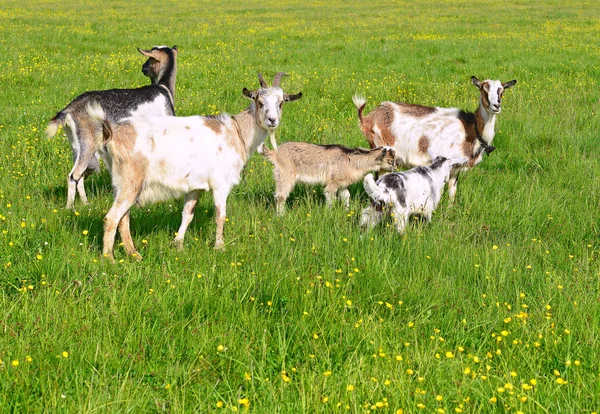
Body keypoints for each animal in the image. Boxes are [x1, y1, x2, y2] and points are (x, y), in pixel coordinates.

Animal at [44, 45, 178, 209]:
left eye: (150, 60)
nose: (143, 68)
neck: (164, 89)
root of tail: (68, 110)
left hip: (77, 144)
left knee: (80, 174)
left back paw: (86, 203)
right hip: (88, 142)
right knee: (73, 174)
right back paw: (70, 207)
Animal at [86, 71, 302, 258]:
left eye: (281, 103)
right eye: (259, 101)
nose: (272, 120)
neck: (236, 132)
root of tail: (110, 134)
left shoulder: (195, 186)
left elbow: (187, 214)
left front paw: (178, 244)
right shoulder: (221, 183)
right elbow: (220, 214)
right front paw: (219, 247)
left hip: (120, 182)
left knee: (123, 219)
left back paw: (134, 255)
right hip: (131, 181)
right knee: (112, 218)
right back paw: (110, 259)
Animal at [262, 142, 394, 213]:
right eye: (391, 161)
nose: (395, 169)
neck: (351, 160)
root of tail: (273, 153)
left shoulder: (342, 183)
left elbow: (346, 196)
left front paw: (347, 211)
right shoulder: (333, 182)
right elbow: (330, 196)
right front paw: (330, 213)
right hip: (285, 174)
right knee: (280, 196)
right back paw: (281, 215)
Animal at [352, 77, 516, 203]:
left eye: (502, 90)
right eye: (483, 89)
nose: (496, 105)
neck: (471, 129)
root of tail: (367, 118)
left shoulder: (456, 169)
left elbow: (452, 191)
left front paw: (450, 210)